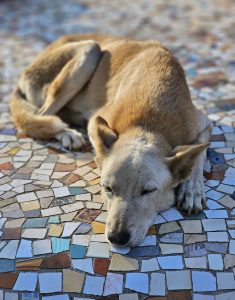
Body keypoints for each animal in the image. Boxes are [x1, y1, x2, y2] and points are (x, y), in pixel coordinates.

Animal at [10, 34, 211, 247]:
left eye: (148, 191)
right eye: (107, 188)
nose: (117, 238)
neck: (149, 122)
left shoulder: (204, 123)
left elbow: (200, 153)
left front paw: (192, 189)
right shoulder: (96, 119)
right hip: (89, 51)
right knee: (39, 116)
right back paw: (66, 131)